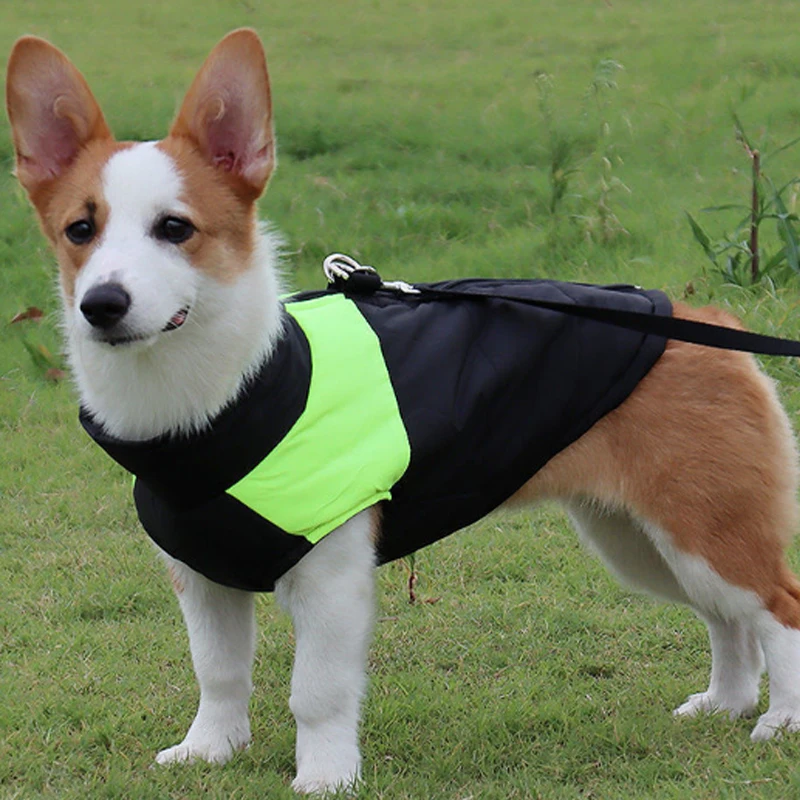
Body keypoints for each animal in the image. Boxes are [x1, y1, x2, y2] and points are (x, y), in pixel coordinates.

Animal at [7, 28, 800, 796]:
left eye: (174, 229)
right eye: (80, 231)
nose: (102, 305)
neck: (225, 399)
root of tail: (705, 321)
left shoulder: (330, 583)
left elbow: (317, 692)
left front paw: (325, 775)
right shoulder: (202, 577)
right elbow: (219, 673)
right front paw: (212, 750)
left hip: (705, 531)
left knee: (778, 608)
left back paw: (781, 720)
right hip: (644, 541)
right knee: (729, 619)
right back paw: (726, 702)